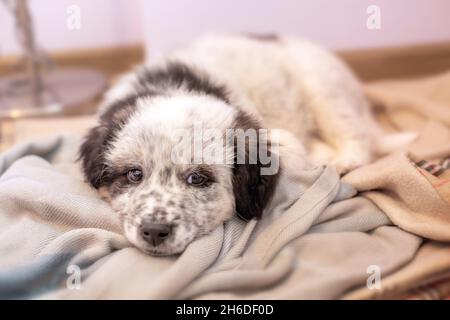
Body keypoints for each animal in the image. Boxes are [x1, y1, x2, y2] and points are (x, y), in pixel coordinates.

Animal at [79, 34, 392, 255]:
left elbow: (293, 150)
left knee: (358, 135)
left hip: (323, 86)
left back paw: (345, 160)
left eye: (197, 178)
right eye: (134, 174)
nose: (154, 231)